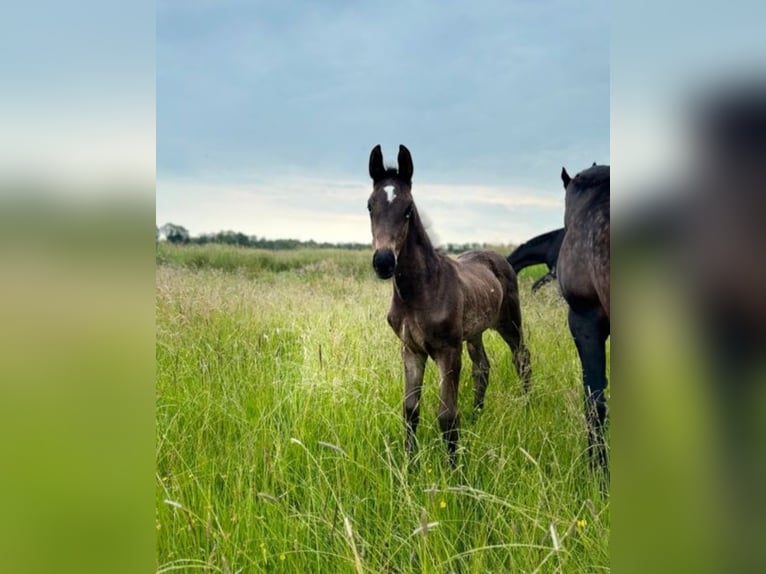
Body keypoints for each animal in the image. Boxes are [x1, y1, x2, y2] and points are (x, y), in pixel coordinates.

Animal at [368, 146, 532, 466]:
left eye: (408, 209)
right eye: (370, 206)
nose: (383, 262)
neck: (419, 291)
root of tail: (500, 257)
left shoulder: (448, 350)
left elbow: (446, 415)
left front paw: (455, 470)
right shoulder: (411, 350)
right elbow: (410, 410)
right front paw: (410, 466)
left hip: (509, 323)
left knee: (522, 358)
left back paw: (528, 407)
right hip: (475, 332)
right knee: (482, 368)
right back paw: (477, 416)